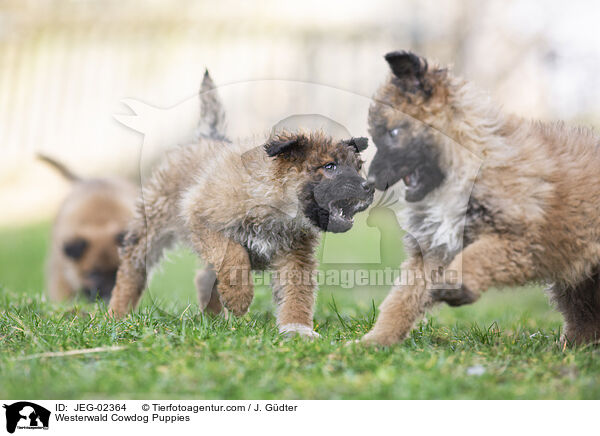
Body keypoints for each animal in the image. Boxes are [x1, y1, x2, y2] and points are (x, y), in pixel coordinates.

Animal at [107, 130, 370, 338]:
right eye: (330, 166)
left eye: (358, 168)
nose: (369, 187)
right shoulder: (202, 218)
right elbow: (233, 255)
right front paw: (239, 298)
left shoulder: (296, 254)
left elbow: (297, 294)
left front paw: (297, 328)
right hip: (153, 221)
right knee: (133, 266)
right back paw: (117, 313)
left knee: (204, 277)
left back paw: (212, 318)